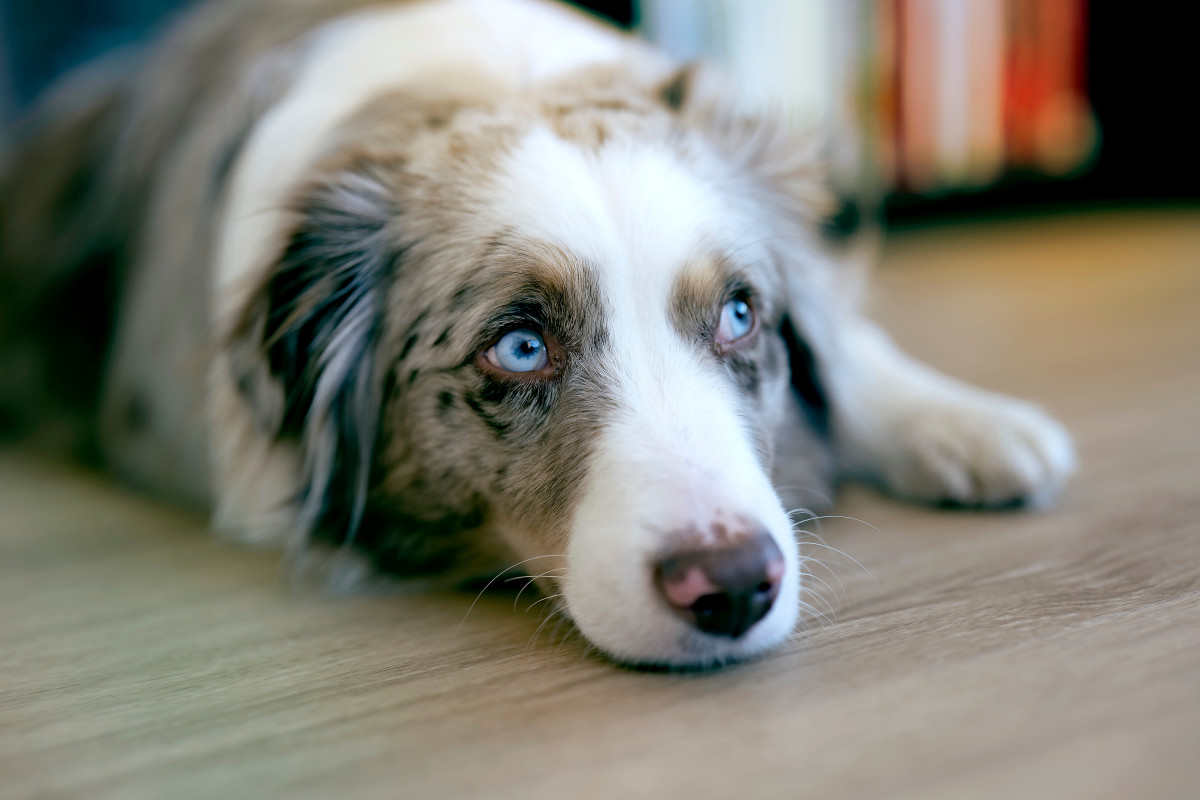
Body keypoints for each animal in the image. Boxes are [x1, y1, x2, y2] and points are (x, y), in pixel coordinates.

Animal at [0, 0, 1070, 666]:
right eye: (519, 347)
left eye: (739, 316)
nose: (732, 586)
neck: (489, 84)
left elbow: (848, 342)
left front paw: (962, 422)